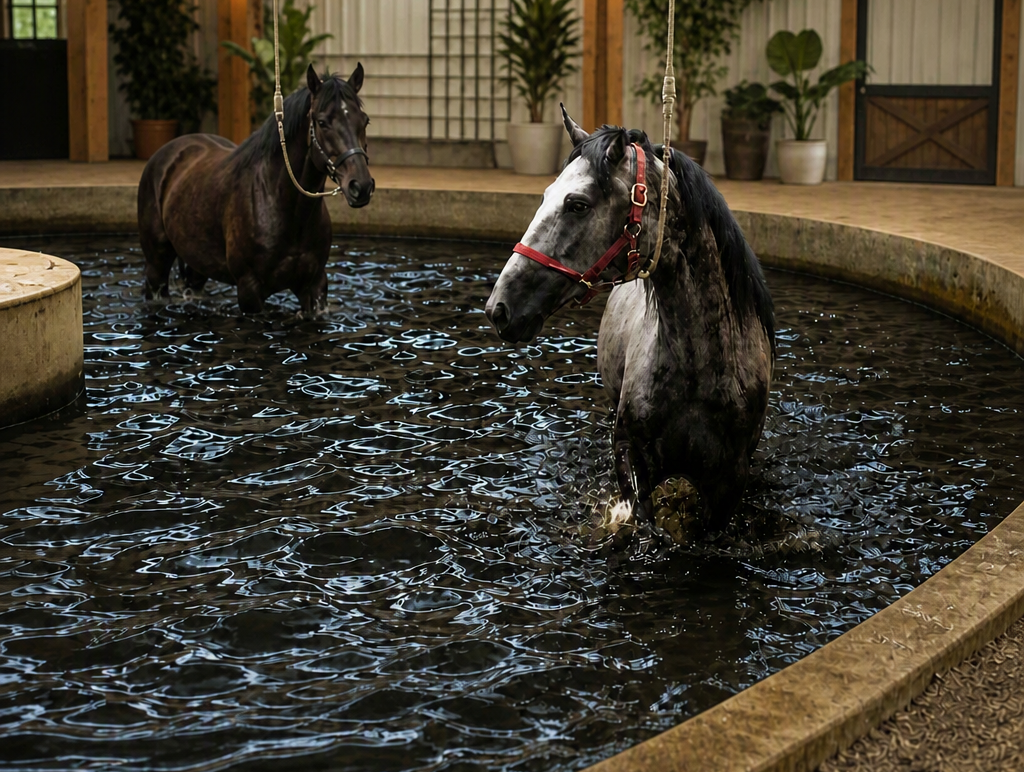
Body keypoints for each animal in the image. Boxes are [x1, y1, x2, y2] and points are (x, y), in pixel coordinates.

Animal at [137, 64, 374, 316]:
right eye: (322, 122)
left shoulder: (315, 285)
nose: (361, 186)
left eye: (365, 120)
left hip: (197, 265)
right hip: (156, 266)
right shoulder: (249, 290)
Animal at [485, 106, 775, 534]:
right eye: (545, 195)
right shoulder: (630, 457)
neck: (700, 370)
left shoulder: (728, 483)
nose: (499, 308)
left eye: (578, 204)